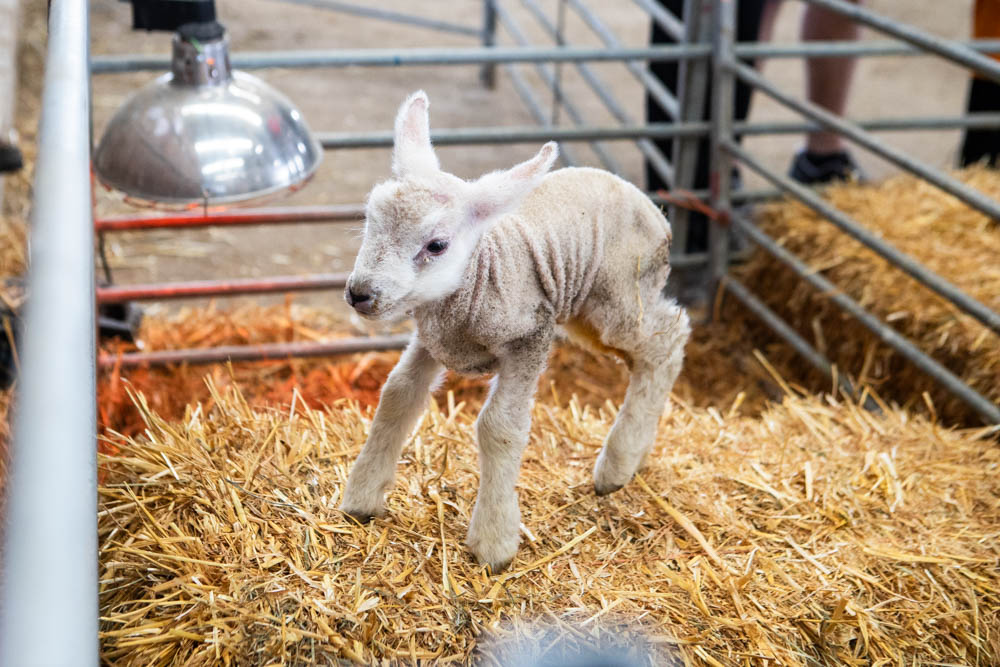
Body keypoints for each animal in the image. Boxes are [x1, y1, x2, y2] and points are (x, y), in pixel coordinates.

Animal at [339, 91, 691, 571]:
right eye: (369, 220)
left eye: (436, 245)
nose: (359, 293)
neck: (479, 277)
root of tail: (653, 208)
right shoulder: (433, 341)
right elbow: (398, 396)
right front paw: (362, 495)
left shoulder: (530, 338)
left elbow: (499, 427)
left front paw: (494, 542)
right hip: (586, 314)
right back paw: (638, 452)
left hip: (617, 300)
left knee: (668, 340)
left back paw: (618, 463)